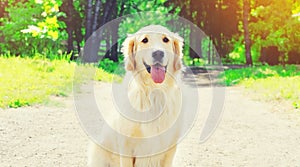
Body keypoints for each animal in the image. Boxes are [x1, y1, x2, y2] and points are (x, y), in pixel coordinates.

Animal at [88, 25, 184, 167]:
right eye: (144, 40)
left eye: (166, 39)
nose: (158, 53)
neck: (154, 92)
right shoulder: (126, 146)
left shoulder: (170, 148)